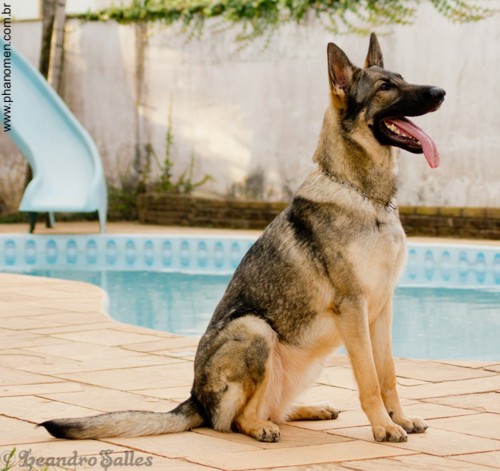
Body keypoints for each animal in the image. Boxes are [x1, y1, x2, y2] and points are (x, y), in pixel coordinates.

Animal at [40, 33, 445, 443]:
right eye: (385, 87)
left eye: (400, 78)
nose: (441, 92)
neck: (365, 196)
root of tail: (196, 399)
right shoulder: (353, 309)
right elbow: (369, 379)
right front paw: (383, 426)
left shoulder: (381, 309)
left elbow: (388, 373)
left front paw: (399, 418)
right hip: (256, 330)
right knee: (238, 419)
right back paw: (262, 427)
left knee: (274, 408)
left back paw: (311, 409)